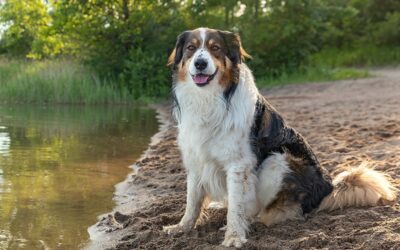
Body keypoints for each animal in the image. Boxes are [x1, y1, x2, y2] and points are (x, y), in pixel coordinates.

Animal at [162, 27, 396, 248]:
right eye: (191, 48)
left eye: (215, 48)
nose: (200, 63)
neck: (209, 98)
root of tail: (328, 188)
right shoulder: (196, 158)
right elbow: (192, 200)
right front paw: (182, 227)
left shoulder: (240, 164)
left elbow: (237, 207)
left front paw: (234, 235)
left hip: (279, 159)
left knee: (272, 210)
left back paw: (252, 220)